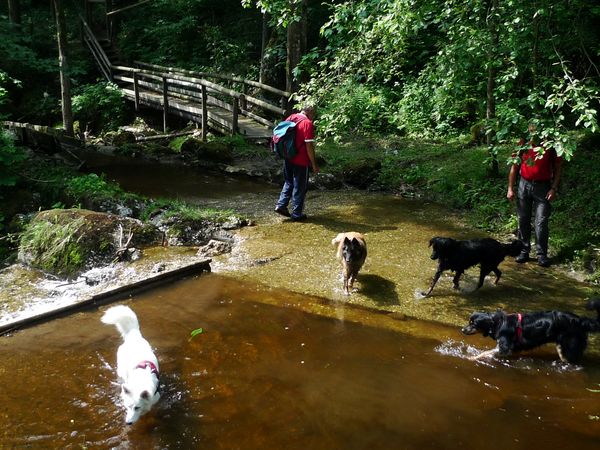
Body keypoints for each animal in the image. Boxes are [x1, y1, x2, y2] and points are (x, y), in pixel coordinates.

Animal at [464, 298, 600, 364]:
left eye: (473, 324)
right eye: (469, 321)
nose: (462, 329)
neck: (498, 323)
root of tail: (579, 320)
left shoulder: (505, 347)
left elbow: (484, 353)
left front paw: (471, 358)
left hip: (566, 347)